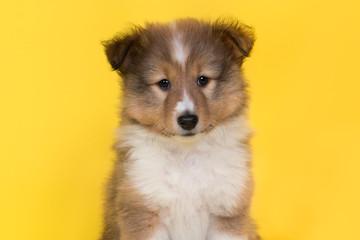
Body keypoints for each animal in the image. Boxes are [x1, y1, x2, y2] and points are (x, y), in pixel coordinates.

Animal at [100, 17, 258, 239]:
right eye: (163, 83)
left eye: (203, 79)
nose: (188, 120)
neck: (187, 155)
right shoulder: (143, 211)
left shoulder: (227, 209)